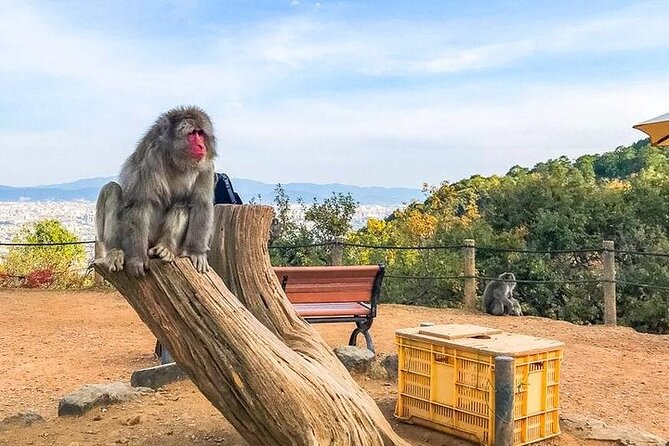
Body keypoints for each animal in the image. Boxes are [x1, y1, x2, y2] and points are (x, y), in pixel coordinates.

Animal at [95, 106, 217, 278]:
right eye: (192, 134)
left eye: (201, 133)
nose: (201, 146)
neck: (177, 160)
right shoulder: (152, 157)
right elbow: (141, 203)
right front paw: (137, 259)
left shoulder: (206, 165)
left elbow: (202, 203)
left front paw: (196, 252)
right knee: (111, 189)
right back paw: (115, 251)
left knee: (182, 201)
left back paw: (165, 248)